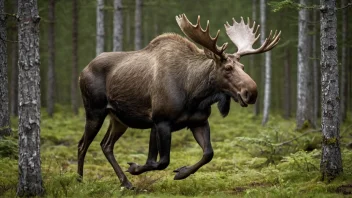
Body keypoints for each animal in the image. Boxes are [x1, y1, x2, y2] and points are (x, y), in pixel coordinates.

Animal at [77, 13, 280, 189]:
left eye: (243, 66)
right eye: (228, 68)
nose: (251, 92)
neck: (194, 94)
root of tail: (82, 71)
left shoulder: (198, 121)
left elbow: (208, 154)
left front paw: (182, 172)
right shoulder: (161, 121)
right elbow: (161, 161)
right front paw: (135, 168)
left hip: (119, 119)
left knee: (106, 145)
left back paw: (125, 183)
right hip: (95, 111)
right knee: (82, 144)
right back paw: (79, 180)